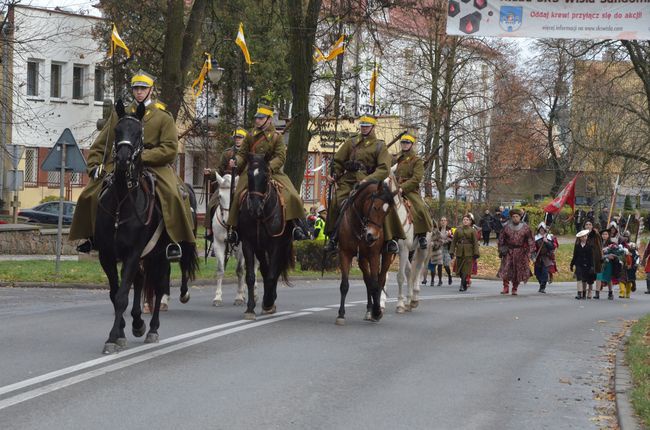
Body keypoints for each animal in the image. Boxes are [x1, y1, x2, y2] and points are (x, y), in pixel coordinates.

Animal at [95, 101, 197, 352]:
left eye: (138, 133)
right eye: (117, 130)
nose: (123, 159)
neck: (122, 202)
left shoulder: (133, 252)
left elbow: (122, 295)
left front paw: (113, 336)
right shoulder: (107, 255)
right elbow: (115, 293)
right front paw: (121, 332)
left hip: (161, 254)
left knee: (160, 287)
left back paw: (152, 329)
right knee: (142, 282)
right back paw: (138, 323)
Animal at [210, 173, 256, 308]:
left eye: (234, 195)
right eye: (219, 196)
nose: (227, 220)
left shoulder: (242, 246)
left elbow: (240, 270)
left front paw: (239, 297)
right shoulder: (219, 243)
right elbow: (220, 269)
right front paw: (217, 298)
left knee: (254, 267)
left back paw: (254, 294)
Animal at [235, 152, 292, 320]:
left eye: (266, 175)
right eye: (248, 174)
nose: (254, 208)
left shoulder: (276, 246)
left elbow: (273, 275)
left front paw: (268, 303)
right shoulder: (248, 244)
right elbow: (251, 277)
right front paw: (250, 308)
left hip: (283, 247)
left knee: (274, 272)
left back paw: (270, 300)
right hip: (260, 249)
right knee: (266, 271)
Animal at [334, 180, 394, 324]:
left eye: (387, 212)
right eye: (375, 207)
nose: (372, 237)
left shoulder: (374, 256)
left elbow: (375, 284)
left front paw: (377, 312)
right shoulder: (345, 254)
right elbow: (345, 285)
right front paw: (341, 315)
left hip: (386, 256)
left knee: (380, 280)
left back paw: (376, 309)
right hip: (362, 259)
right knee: (368, 281)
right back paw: (369, 310)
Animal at [378, 173, 428, 314]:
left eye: (387, 182)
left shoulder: (403, 249)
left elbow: (400, 277)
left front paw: (399, 304)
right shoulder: (384, 251)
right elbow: (383, 277)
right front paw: (380, 304)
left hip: (421, 250)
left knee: (417, 271)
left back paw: (414, 299)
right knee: (409, 271)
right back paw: (409, 301)